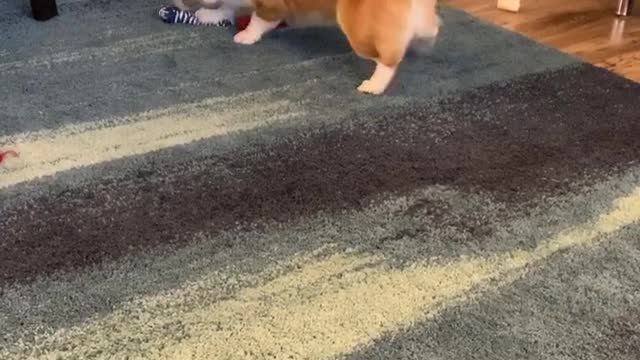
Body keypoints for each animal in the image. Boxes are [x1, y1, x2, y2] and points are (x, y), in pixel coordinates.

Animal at [234, 0, 440, 95]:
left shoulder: (271, 6)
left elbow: (258, 20)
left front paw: (246, 35)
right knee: (429, 27)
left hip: (358, 30)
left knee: (388, 59)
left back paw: (373, 86)